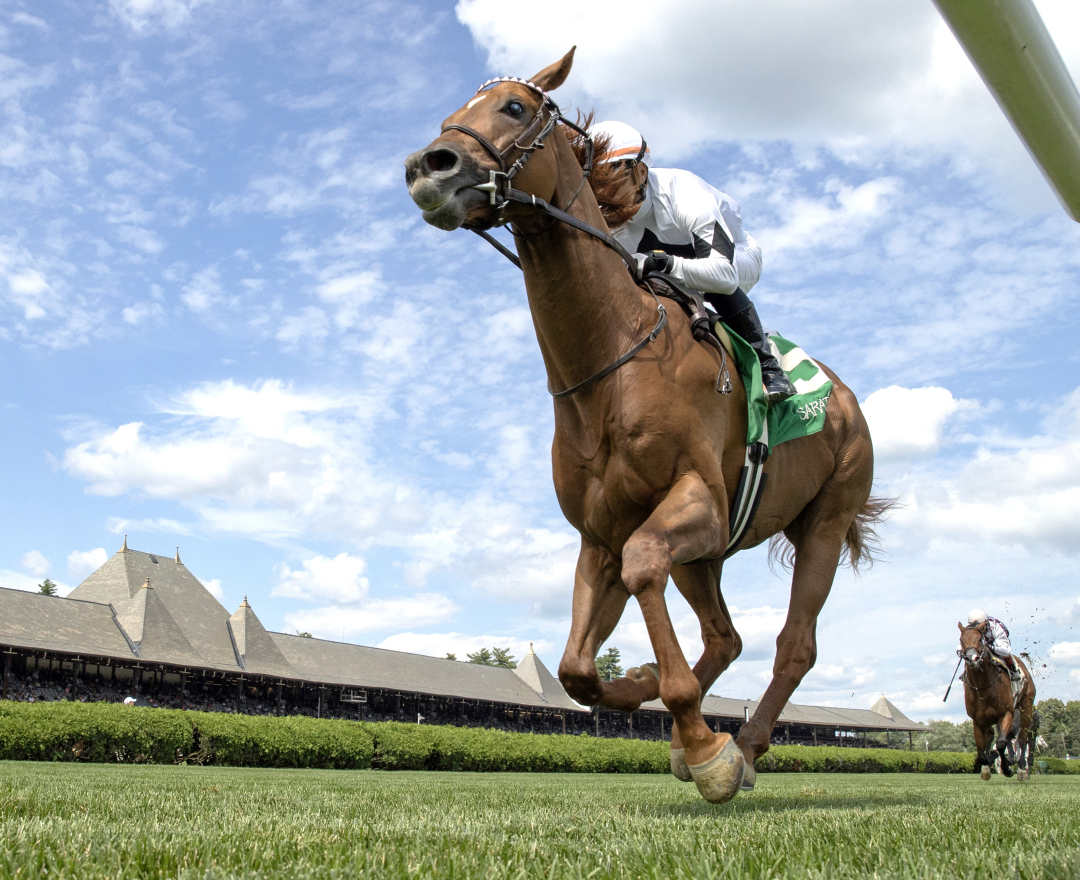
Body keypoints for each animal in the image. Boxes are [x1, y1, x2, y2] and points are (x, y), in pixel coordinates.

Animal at [406, 48, 885, 803]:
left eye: (514, 107)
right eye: (453, 111)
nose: (430, 165)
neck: (611, 362)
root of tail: (846, 398)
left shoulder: (698, 504)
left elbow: (641, 569)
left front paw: (707, 745)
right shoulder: (602, 532)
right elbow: (575, 668)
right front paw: (649, 692)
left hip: (826, 520)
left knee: (793, 645)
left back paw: (745, 746)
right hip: (707, 556)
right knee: (725, 637)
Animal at [963, 621, 1036, 781]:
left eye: (980, 639)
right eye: (961, 640)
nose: (972, 659)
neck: (983, 686)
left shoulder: (1006, 713)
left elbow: (1001, 743)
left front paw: (1007, 768)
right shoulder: (978, 720)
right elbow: (981, 749)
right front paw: (986, 768)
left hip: (1026, 706)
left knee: (1022, 739)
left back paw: (1021, 769)